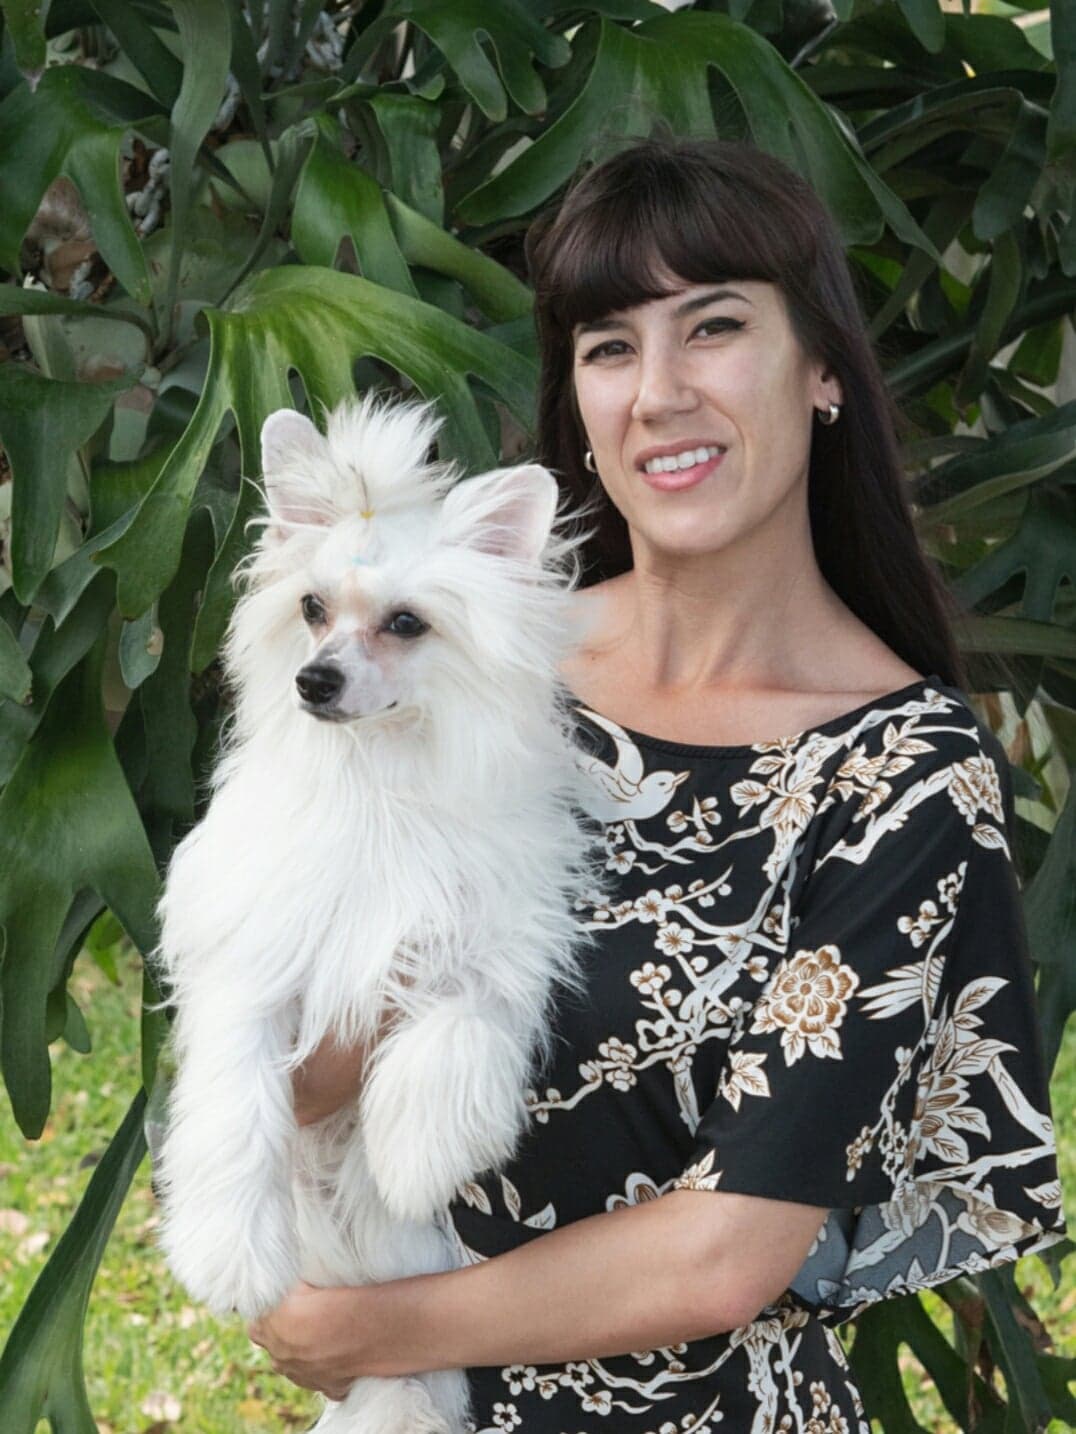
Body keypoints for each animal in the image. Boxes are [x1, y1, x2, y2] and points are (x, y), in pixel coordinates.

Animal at [155, 395, 602, 1434]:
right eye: (312, 609)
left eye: (407, 623)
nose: (313, 680)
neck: (378, 780)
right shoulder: (252, 961)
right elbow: (235, 1097)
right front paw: (229, 1250)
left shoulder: (492, 936)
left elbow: (462, 1019)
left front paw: (416, 1150)